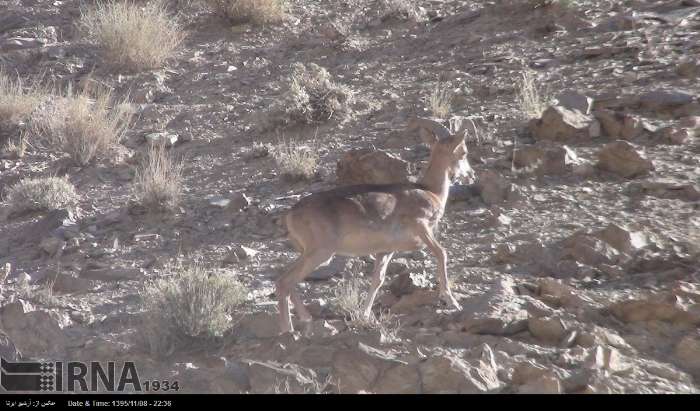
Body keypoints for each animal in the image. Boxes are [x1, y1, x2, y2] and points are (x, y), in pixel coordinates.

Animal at [274, 116, 476, 334]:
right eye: (464, 152)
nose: (471, 174)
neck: (431, 191)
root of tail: (290, 215)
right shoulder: (421, 226)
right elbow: (441, 253)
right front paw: (452, 302)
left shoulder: (385, 251)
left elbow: (377, 280)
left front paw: (364, 315)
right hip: (321, 253)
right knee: (284, 282)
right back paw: (288, 330)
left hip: (309, 253)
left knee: (287, 281)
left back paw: (305, 319)